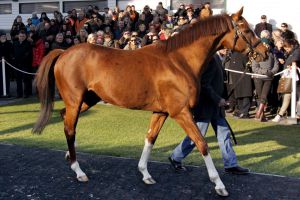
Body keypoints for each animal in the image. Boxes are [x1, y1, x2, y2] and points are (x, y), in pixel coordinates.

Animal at [32, 8, 268, 197]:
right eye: (246, 30)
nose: (264, 53)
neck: (179, 61)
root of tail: (64, 52)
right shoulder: (180, 112)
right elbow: (201, 143)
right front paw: (219, 184)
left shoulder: (161, 112)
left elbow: (150, 138)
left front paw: (145, 173)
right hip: (76, 100)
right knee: (70, 128)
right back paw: (78, 171)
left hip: (88, 99)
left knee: (66, 120)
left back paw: (69, 156)